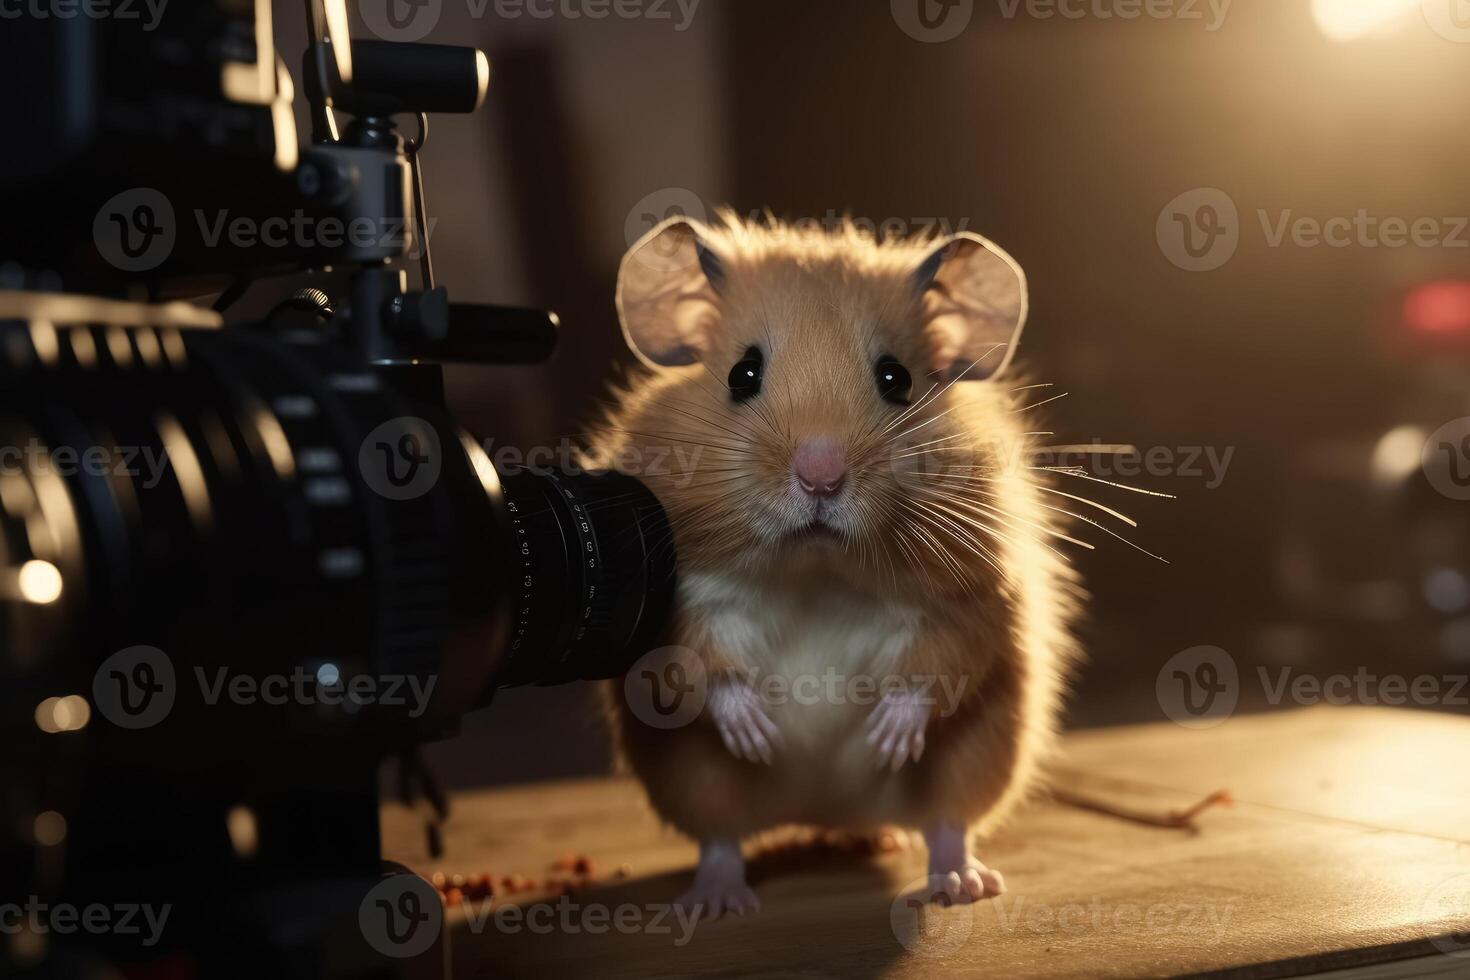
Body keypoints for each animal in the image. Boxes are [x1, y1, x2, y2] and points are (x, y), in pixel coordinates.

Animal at [590, 213, 1087, 922]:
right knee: (720, 837)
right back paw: (715, 901)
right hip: (692, 779)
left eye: (896, 379)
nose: (820, 478)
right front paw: (758, 736)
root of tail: (826, 810)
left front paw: (887, 739)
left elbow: (937, 663)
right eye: (742, 374)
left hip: (979, 756)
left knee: (947, 821)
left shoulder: (977, 590)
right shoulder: (676, 600)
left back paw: (956, 882)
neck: (816, 568)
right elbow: (700, 662)